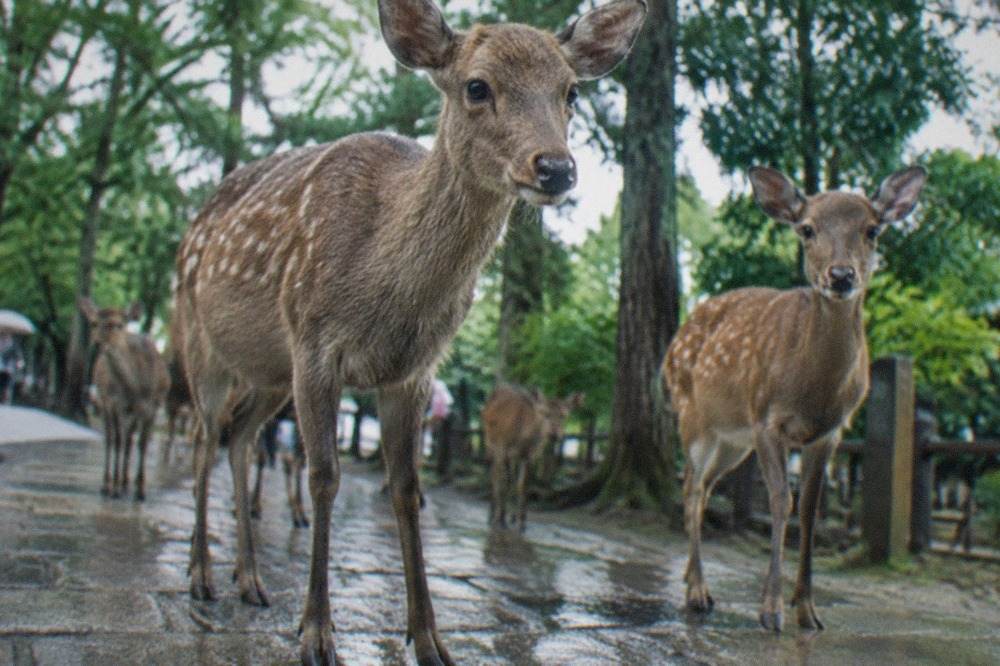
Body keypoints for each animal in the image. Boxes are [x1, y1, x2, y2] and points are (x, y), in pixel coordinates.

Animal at [79, 298, 169, 501]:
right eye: (94, 323)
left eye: (118, 325)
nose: (97, 344)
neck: (134, 388)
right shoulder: (115, 403)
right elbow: (118, 440)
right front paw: (114, 488)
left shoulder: (152, 406)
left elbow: (142, 443)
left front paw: (141, 490)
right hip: (105, 403)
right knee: (112, 438)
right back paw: (109, 484)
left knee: (129, 438)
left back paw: (126, 482)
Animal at [483, 384, 583, 531]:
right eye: (545, 413)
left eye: (564, 415)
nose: (554, 434)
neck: (524, 438)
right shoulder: (503, 447)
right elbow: (505, 483)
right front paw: (501, 519)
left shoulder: (531, 456)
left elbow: (524, 485)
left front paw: (522, 522)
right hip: (490, 442)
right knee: (494, 475)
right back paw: (492, 515)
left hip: (513, 457)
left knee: (511, 478)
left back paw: (512, 517)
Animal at [663, 165, 927, 633]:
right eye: (807, 229)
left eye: (872, 229)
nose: (840, 276)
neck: (813, 390)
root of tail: (670, 348)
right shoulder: (766, 418)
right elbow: (779, 502)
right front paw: (771, 609)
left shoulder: (829, 433)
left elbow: (808, 510)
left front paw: (807, 610)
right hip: (693, 418)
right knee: (692, 486)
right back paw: (697, 592)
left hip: (732, 441)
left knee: (705, 485)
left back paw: (692, 580)